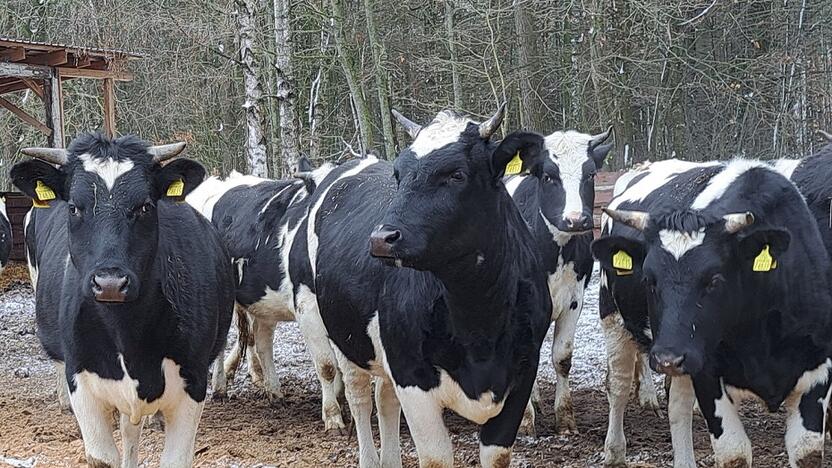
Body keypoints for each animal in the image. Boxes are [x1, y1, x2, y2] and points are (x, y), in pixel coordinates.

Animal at [12, 133, 234, 468]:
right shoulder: (82, 385)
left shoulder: (193, 381)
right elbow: (103, 457)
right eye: (74, 207)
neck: (127, 336)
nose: (110, 283)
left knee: (132, 430)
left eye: (144, 206)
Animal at [185, 162, 348, 432]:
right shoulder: (307, 308)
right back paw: (219, 388)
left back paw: (274, 392)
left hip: (262, 303)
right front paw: (333, 416)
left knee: (261, 342)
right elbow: (326, 365)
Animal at [300, 106, 552, 468]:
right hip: (345, 338)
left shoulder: (522, 373)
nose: (381, 238)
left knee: (384, 398)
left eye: (457, 175)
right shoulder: (411, 376)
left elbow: (497, 455)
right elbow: (435, 458)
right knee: (360, 397)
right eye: (399, 174)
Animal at [592, 159, 832, 466]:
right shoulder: (707, 374)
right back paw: (614, 451)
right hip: (615, 318)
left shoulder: (818, 371)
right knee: (619, 386)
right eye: (648, 280)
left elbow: (806, 452)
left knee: (678, 406)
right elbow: (734, 452)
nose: (668, 357)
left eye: (714, 280)